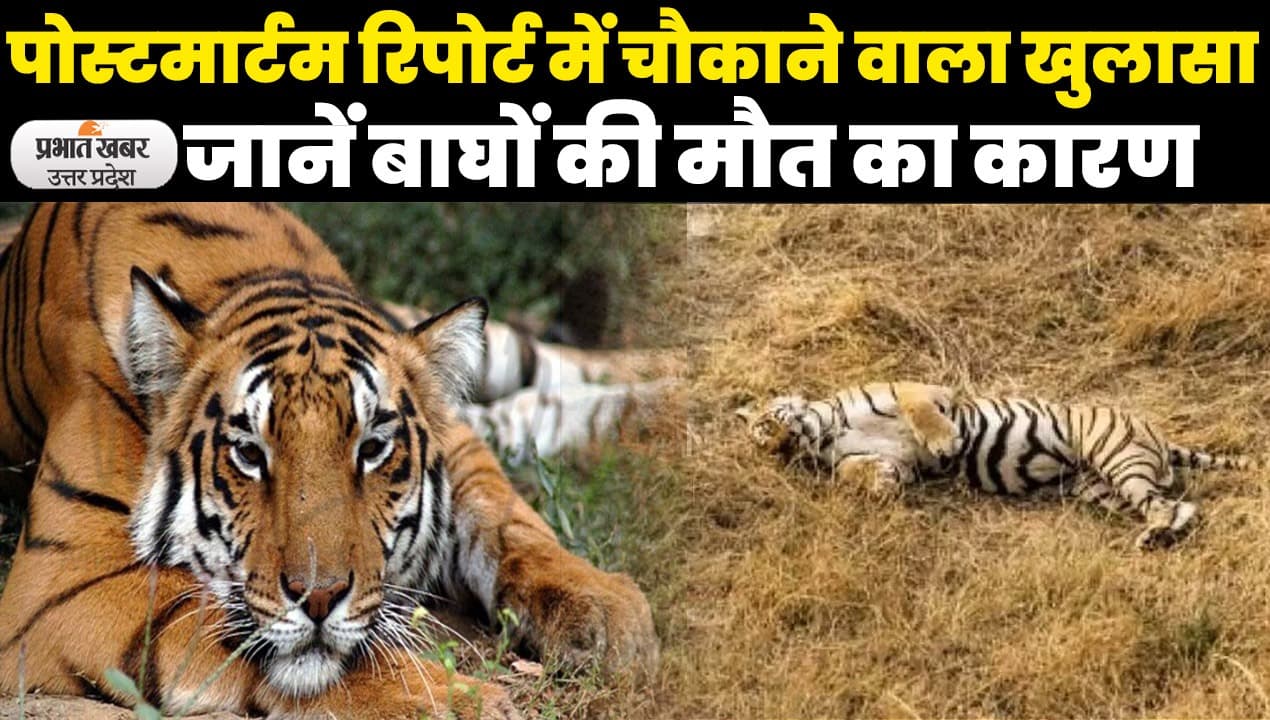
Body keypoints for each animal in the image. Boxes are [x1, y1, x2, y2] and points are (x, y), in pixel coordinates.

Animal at [0, 202, 658, 720]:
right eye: (248, 453)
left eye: (372, 449)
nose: (318, 599)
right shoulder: (62, 580)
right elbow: (222, 623)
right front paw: (453, 699)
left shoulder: (454, 436)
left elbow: (508, 516)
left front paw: (603, 606)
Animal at [741, 381, 1263, 550]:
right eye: (768, 447)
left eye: (766, 428)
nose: (782, 449)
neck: (827, 431)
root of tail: (1157, 434)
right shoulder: (887, 460)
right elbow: (862, 470)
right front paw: (882, 484)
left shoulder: (920, 389)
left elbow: (921, 412)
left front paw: (944, 440)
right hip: (1103, 487)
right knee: (1174, 505)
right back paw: (1157, 537)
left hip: (1116, 456)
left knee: (1171, 504)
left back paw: (1155, 535)